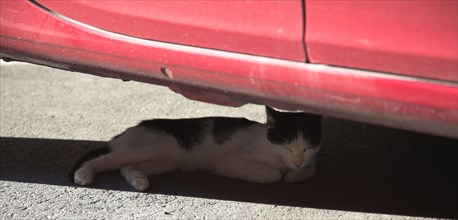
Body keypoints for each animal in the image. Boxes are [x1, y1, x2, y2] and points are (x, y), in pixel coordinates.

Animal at [70, 106, 322, 191]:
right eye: (287, 147)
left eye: (307, 148)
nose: (296, 162)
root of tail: (135, 126)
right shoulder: (230, 161)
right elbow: (273, 175)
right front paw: (283, 174)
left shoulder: (309, 161)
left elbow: (311, 169)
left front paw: (295, 175)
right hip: (147, 146)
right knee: (99, 160)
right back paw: (83, 174)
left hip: (167, 160)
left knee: (126, 167)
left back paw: (139, 181)